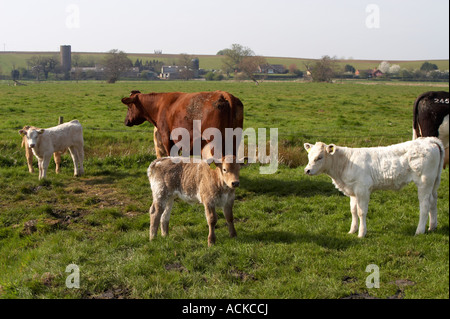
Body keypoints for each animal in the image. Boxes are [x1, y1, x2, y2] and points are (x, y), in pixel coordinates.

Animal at [304, 138, 444, 238]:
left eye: (320, 157)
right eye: (309, 156)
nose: (307, 170)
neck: (345, 164)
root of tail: (428, 140)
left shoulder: (362, 189)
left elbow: (361, 212)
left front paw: (361, 233)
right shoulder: (353, 191)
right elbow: (353, 211)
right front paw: (352, 230)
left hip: (424, 182)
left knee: (425, 205)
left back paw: (419, 231)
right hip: (434, 182)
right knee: (433, 201)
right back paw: (432, 227)